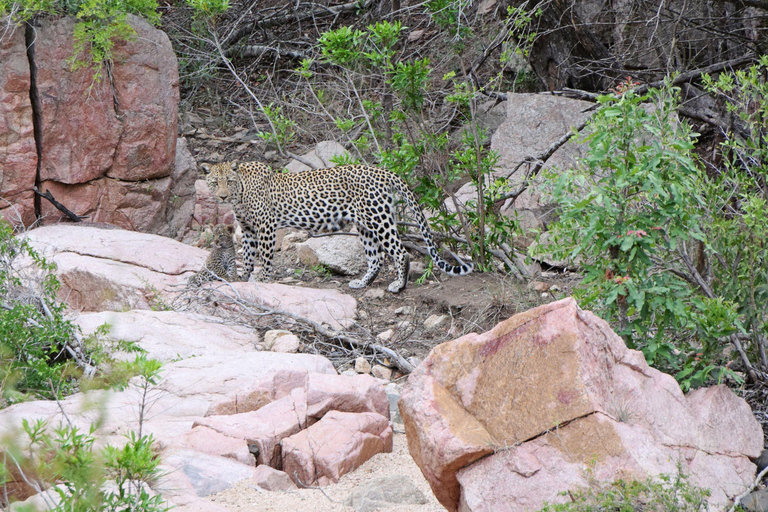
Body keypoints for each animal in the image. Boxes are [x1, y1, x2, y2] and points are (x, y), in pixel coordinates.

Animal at [201, 161, 473, 293]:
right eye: (215, 182)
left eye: (229, 182)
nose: (222, 197)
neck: (240, 193)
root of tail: (384, 171)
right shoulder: (247, 229)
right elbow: (247, 256)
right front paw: (244, 277)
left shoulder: (266, 227)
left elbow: (265, 257)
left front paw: (262, 279)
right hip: (365, 224)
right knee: (375, 257)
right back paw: (362, 283)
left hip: (378, 219)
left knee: (399, 251)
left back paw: (398, 285)